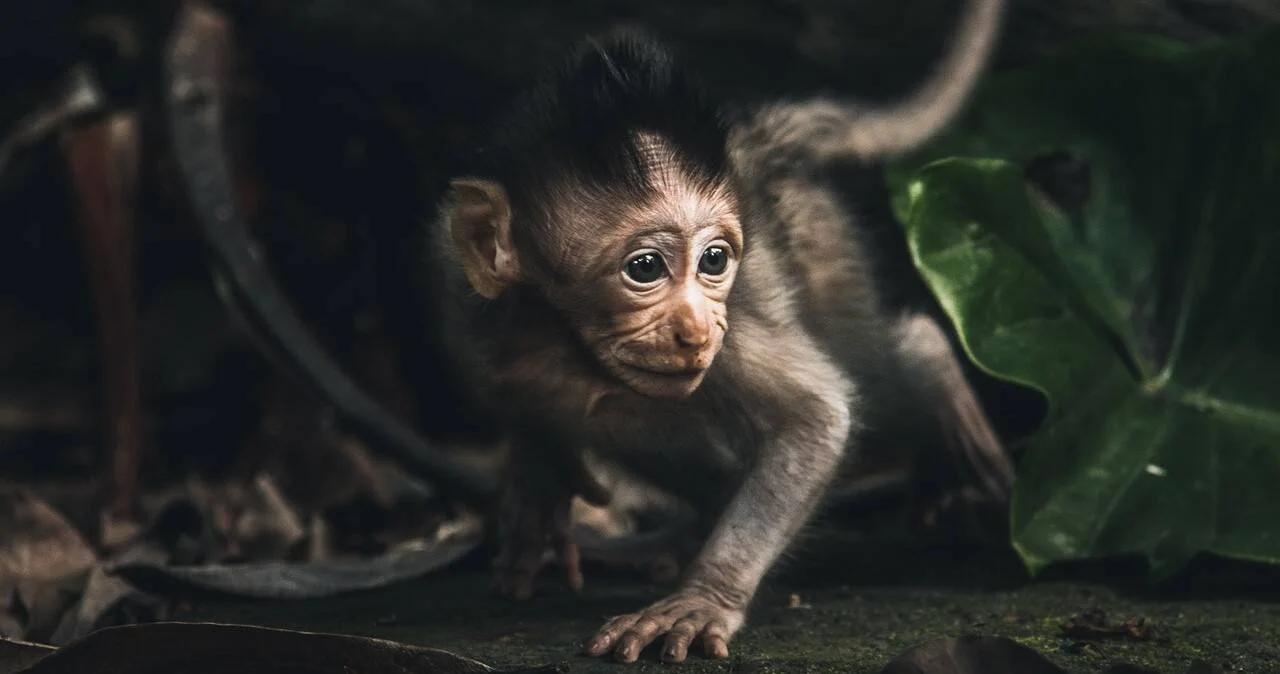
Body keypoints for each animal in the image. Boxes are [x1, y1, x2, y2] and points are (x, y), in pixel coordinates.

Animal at [425, 0, 1010, 663]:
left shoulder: (735, 339)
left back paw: (931, 366)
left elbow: (816, 416)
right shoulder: (464, 309)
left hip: (824, 247)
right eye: (645, 268)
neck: (569, 346)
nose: (696, 329)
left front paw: (702, 599)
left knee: (880, 373)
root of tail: (761, 143)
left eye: (714, 260)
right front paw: (539, 488)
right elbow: (521, 407)